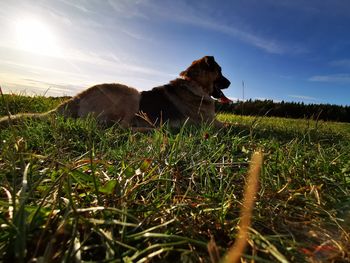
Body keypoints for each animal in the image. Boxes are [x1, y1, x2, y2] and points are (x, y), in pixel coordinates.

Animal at [0, 56, 231, 129]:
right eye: (220, 71)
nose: (230, 82)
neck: (194, 84)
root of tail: (77, 98)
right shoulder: (211, 123)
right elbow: (233, 126)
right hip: (131, 94)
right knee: (121, 128)